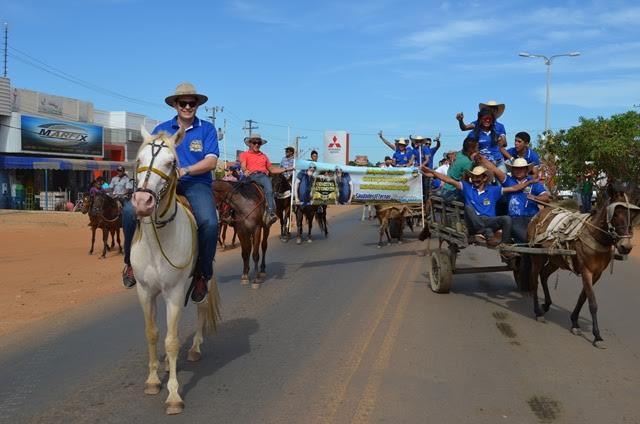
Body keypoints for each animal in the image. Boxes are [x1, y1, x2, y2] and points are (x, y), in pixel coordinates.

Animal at [130, 127, 220, 416]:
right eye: (138, 159)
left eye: (171, 163)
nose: (143, 201)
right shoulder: (145, 291)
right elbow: (152, 333)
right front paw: (152, 380)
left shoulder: (174, 293)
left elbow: (170, 341)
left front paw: (173, 395)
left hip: (204, 279)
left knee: (201, 308)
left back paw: (195, 348)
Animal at [524, 182, 640, 348]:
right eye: (616, 214)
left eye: (633, 215)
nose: (626, 246)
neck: (595, 235)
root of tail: (537, 215)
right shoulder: (586, 271)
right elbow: (592, 303)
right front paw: (597, 336)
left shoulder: (597, 274)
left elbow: (583, 297)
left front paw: (574, 322)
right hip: (536, 255)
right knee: (534, 280)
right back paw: (538, 311)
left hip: (555, 259)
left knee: (544, 275)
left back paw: (546, 304)